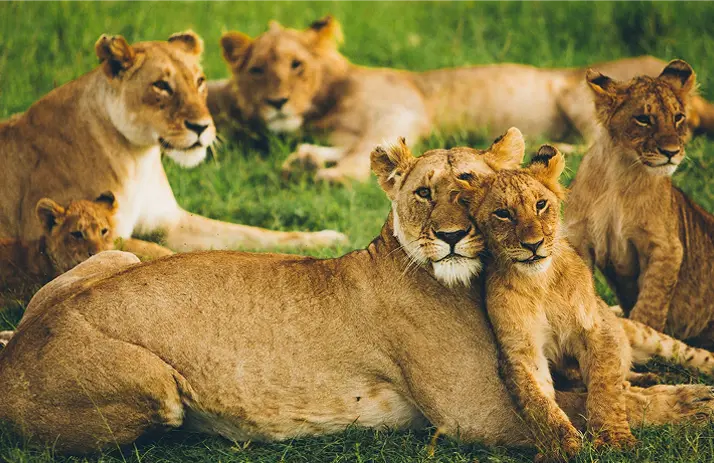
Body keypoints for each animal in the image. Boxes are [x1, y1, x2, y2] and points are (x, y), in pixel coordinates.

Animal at [0, 31, 346, 252]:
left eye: (200, 81)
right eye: (161, 86)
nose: (202, 127)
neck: (137, 158)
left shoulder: (172, 223)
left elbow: (252, 233)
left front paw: (327, 239)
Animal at [1, 129, 713, 455]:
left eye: (473, 189)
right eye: (424, 192)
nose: (451, 236)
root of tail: (16, 354)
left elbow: (603, 378)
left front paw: (654, 381)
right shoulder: (477, 415)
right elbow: (582, 407)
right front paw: (691, 402)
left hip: (114, 252)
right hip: (159, 387)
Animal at [209, 15, 714, 184]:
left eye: (296, 65)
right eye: (257, 70)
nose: (276, 102)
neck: (326, 101)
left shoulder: (402, 109)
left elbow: (363, 151)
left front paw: (330, 175)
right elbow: (352, 146)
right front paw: (307, 159)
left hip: (578, 92)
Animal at [564, 59, 714, 347]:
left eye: (678, 117)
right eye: (643, 119)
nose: (671, 152)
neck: (620, 173)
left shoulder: (666, 246)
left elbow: (651, 304)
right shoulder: (578, 238)